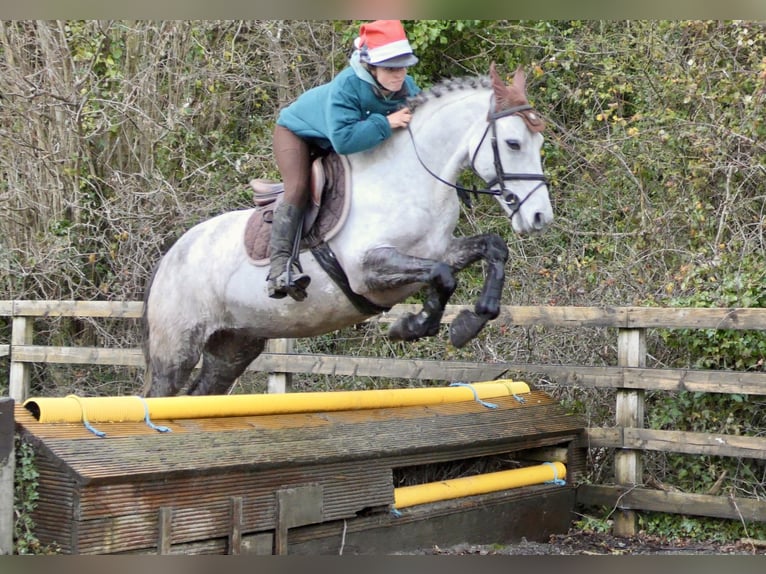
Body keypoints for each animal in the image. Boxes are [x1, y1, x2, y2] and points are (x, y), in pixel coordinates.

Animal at [141, 63, 553, 397]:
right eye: (514, 142)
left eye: (540, 141)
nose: (539, 217)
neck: (410, 180)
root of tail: (170, 256)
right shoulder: (367, 271)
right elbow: (442, 276)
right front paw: (413, 325)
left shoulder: (439, 250)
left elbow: (489, 249)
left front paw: (467, 323)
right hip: (176, 349)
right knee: (157, 395)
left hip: (235, 344)